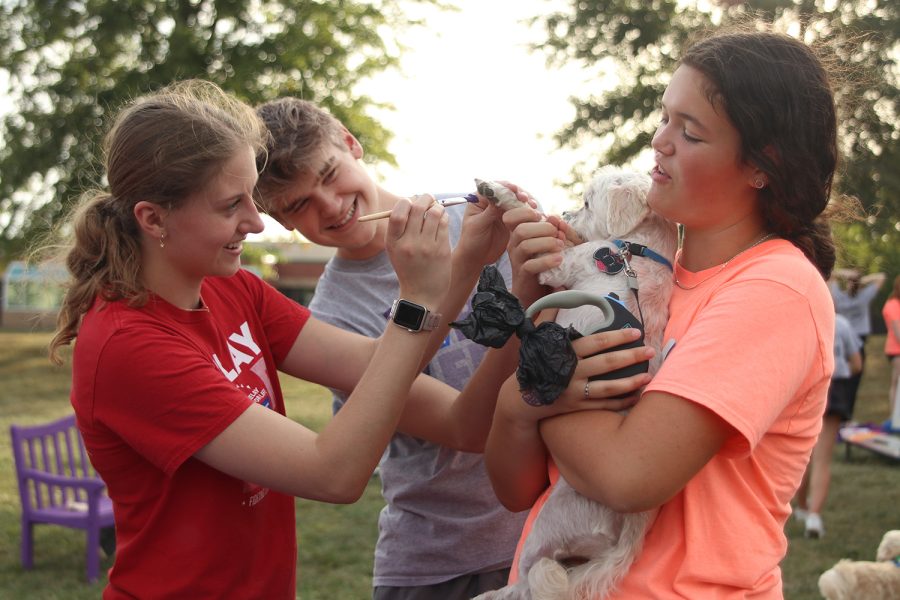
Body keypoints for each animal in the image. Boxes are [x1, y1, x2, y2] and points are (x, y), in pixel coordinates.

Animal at [474, 169, 680, 600]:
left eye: (586, 202)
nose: (569, 211)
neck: (636, 251)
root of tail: (627, 539)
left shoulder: (563, 265)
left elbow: (535, 219)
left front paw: (500, 194)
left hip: (549, 525)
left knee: (528, 579)